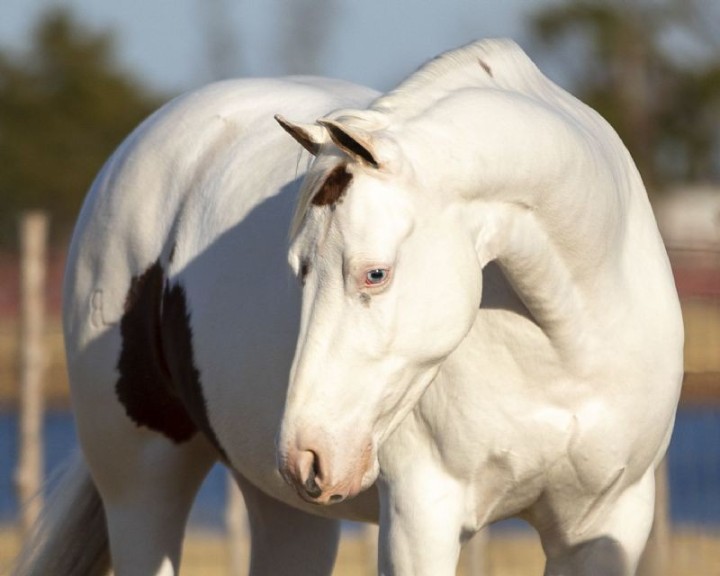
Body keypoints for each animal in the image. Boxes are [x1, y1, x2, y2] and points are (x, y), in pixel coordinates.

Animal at [13, 39, 683, 576]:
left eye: (374, 273)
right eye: (297, 270)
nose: (307, 454)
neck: (566, 350)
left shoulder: (602, 525)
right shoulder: (421, 519)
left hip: (284, 508)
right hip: (141, 482)